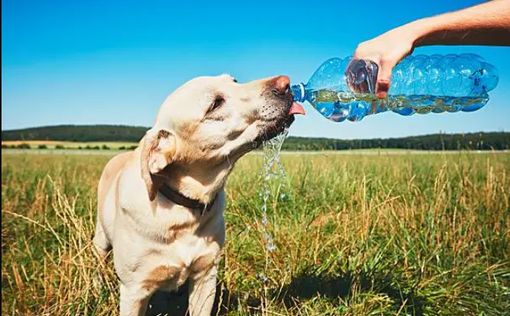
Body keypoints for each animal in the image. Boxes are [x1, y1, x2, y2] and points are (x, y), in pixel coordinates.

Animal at [93, 74, 304, 316]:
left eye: (234, 80)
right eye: (215, 104)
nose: (285, 83)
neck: (183, 209)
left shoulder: (206, 276)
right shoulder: (134, 290)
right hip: (100, 239)